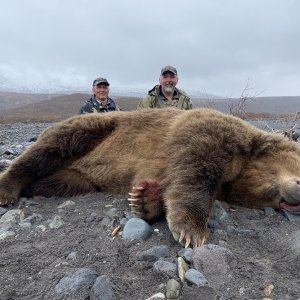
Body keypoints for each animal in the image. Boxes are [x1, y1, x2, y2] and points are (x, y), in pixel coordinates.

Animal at [0, 109, 300, 247]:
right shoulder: (208, 130)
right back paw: (8, 189)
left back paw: (38, 189)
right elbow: (195, 168)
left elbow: (165, 182)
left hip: (78, 178)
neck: (247, 165)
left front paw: (145, 198)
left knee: (62, 180)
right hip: (93, 129)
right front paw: (192, 229)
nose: (296, 195)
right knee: (48, 149)